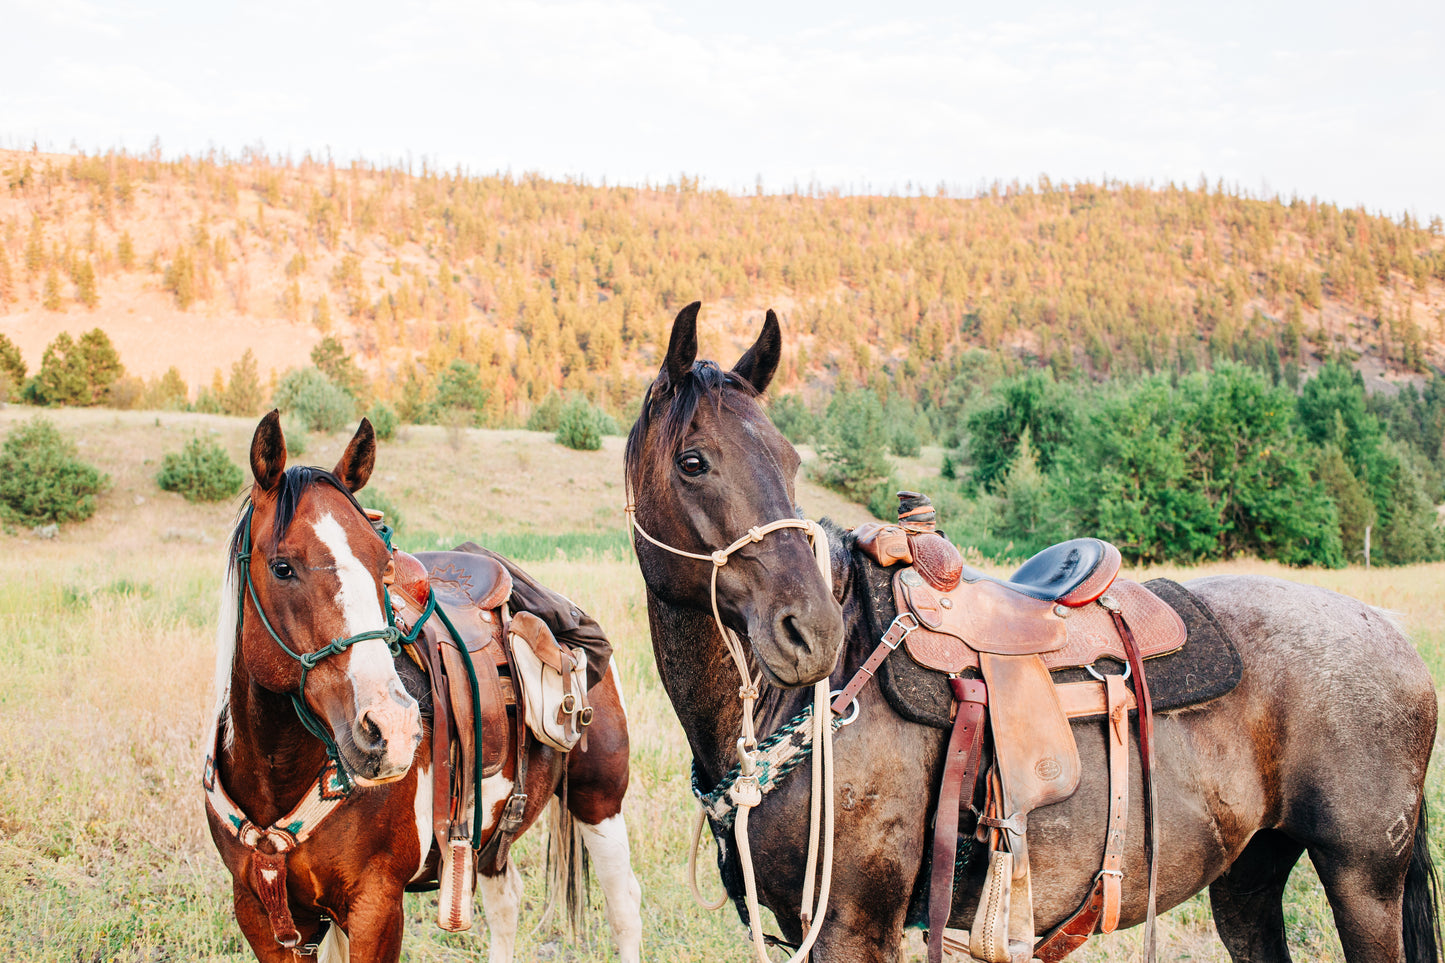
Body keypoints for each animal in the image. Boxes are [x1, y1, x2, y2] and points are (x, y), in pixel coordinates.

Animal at [206, 407, 641, 954]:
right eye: (282, 567)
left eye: (384, 564)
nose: (390, 729)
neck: (274, 776)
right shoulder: (263, 915)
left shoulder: (375, 907)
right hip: (489, 836)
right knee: (506, 902)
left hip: (599, 802)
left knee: (624, 908)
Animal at [627, 302, 1439, 960]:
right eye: (693, 461)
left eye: (789, 460)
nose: (811, 633)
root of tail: (1391, 633)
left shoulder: (851, 926)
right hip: (1249, 877)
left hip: (1364, 880)